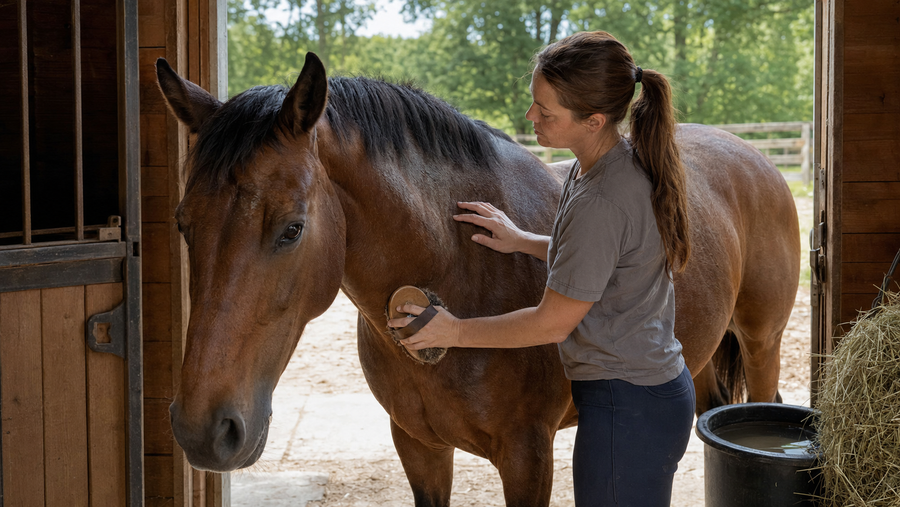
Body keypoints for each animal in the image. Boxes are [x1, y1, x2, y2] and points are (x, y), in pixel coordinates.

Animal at [156, 52, 800, 506]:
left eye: (291, 229)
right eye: (183, 224)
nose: (204, 431)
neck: (457, 264)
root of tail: (753, 155)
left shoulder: (527, 457)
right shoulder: (419, 447)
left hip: (761, 343)